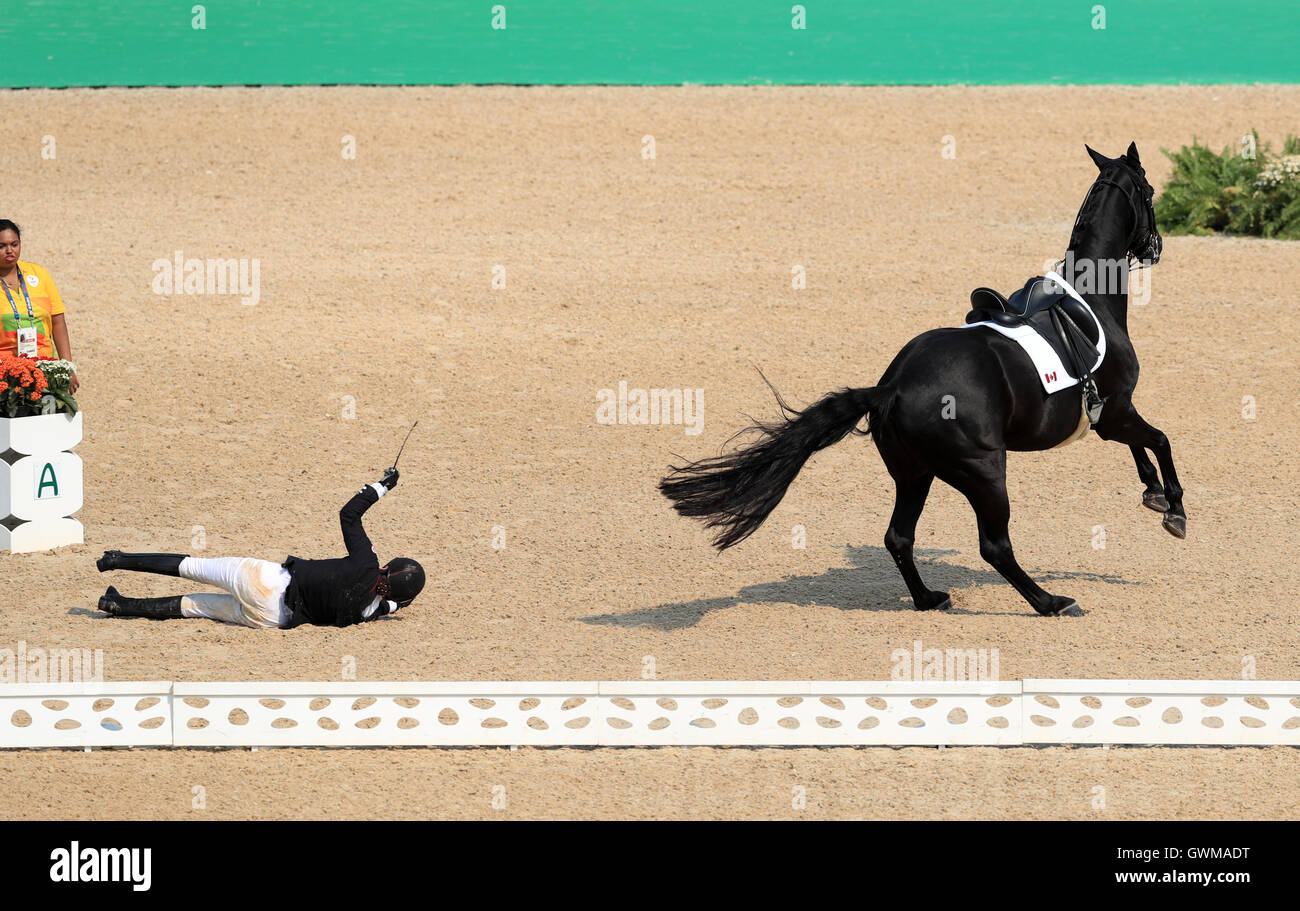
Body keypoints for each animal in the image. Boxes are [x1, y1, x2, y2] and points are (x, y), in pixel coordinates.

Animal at [665, 142, 1185, 615]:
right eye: (1150, 192)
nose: (1155, 248)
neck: (1089, 300)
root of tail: (893, 387)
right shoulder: (1116, 411)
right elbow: (1160, 440)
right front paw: (1175, 509)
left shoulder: (1110, 416)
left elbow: (1143, 449)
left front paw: (1153, 494)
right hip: (983, 470)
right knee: (994, 545)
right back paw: (1049, 601)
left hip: (915, 473)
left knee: (899, 536)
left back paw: (928, 598)